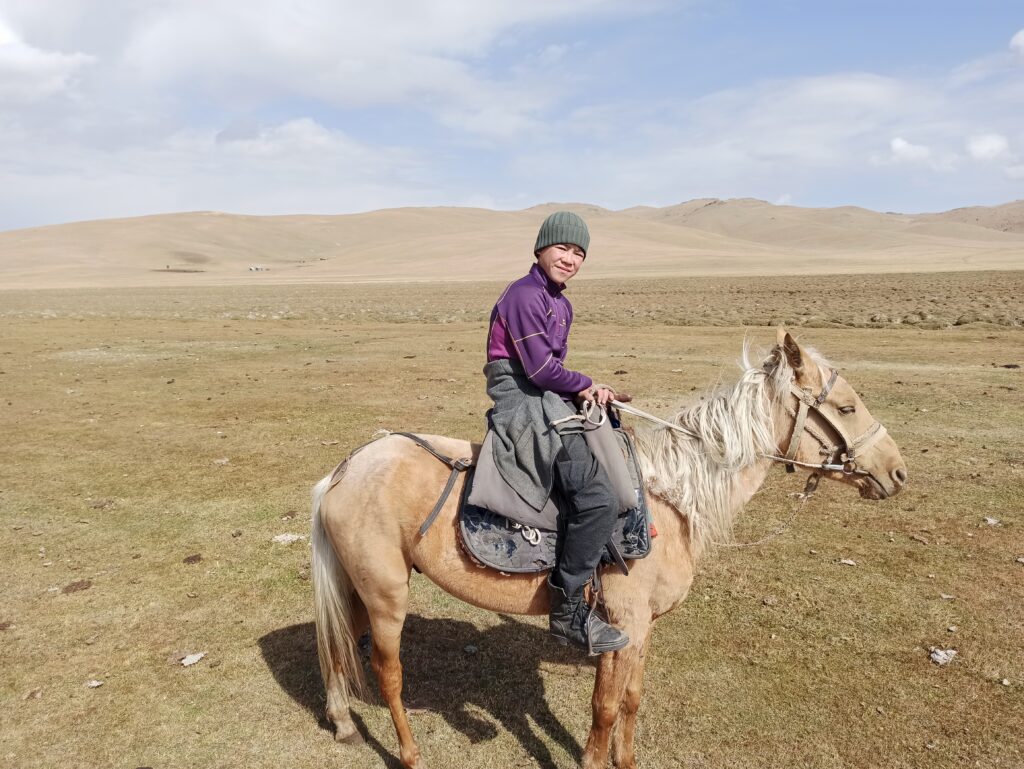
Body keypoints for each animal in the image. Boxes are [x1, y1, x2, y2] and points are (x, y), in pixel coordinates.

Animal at [309, 329, 907, 769]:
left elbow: (631, 699)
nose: (897, 472)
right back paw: (409, 753)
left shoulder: (641, 627)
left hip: (357, 587)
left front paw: (626, 760)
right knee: (387, 671)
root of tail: (343, 470)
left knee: (336, 645)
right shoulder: (620, 621)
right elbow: (604, 706)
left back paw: (342, 724)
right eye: (847, 408)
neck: (671, 497)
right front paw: (595, 761)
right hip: (387, 594)